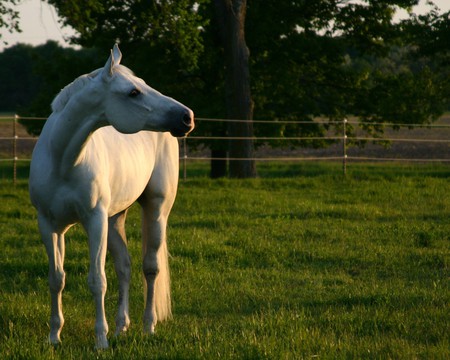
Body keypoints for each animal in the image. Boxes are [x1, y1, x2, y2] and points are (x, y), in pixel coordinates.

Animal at [29, 45, 194, 348]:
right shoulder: (49, 224)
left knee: (150, 268)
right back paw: (121, 328)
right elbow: (56, 278)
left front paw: (100, 341)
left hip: (156, 208)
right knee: (124, 268)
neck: (63, 161)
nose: (187, 117)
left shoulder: (94, 221)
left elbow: (97, 280)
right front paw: (54, 336)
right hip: (115, 218)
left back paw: (148, 327)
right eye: (133, 92)